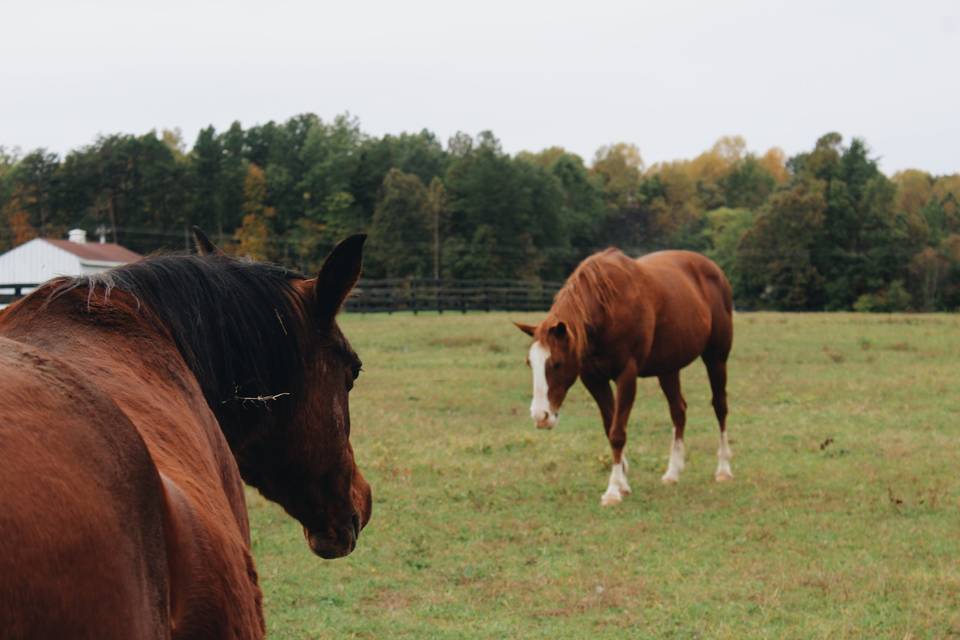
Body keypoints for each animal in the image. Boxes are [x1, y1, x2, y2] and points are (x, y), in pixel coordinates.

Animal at [516, 249, 736, 504]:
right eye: (530, 363)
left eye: (557, 364)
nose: (540, 416)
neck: (606, 309)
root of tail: (714, 269)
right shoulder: (593, 379)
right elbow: (609, 427)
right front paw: (623, 483)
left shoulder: (626, 376)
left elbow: (617, 433)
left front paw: (613, 491)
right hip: (668, 369)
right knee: (678, 412)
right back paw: (673, 473)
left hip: (716, 358)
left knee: (720, 407)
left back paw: (723, 470)